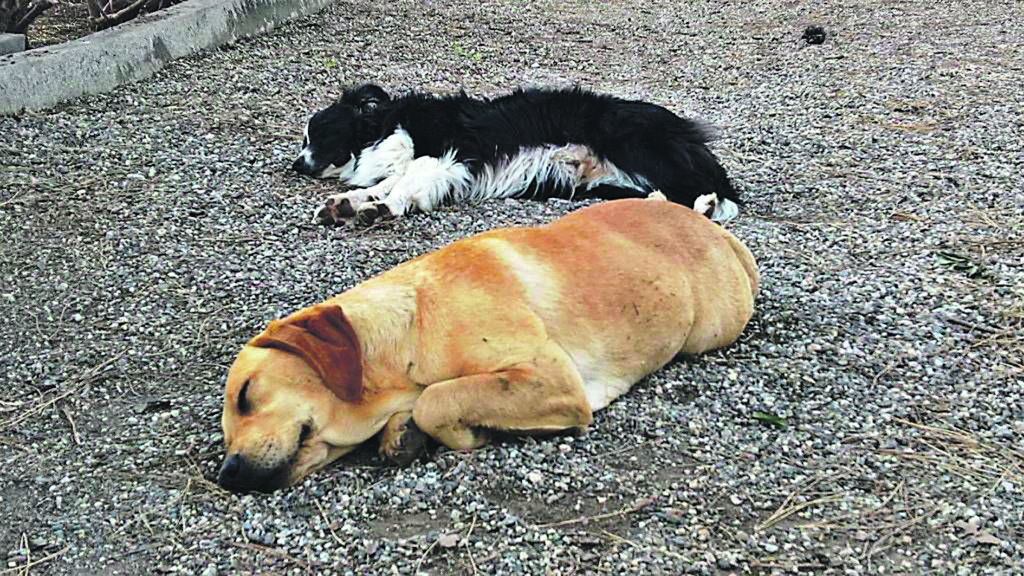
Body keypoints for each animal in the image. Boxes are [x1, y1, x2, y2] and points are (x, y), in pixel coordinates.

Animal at [218, 195, 761, 487]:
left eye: (245, 395)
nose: (227, 473)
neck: (409, 327)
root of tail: (712, 227)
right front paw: (400, 432)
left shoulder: (551, 379)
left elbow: (437, 400)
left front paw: (461, 431)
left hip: (710, 330)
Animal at [292, 84, 741, 225]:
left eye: (318, 133)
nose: (296, 166)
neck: (381, 124)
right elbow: (381, 183)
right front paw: (344, 204)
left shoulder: (447, 155)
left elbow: (403, 184)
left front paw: (382, 208)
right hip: (607, 184)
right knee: (667, 195)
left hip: (633, 144)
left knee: (711, 190)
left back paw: (707, 204)